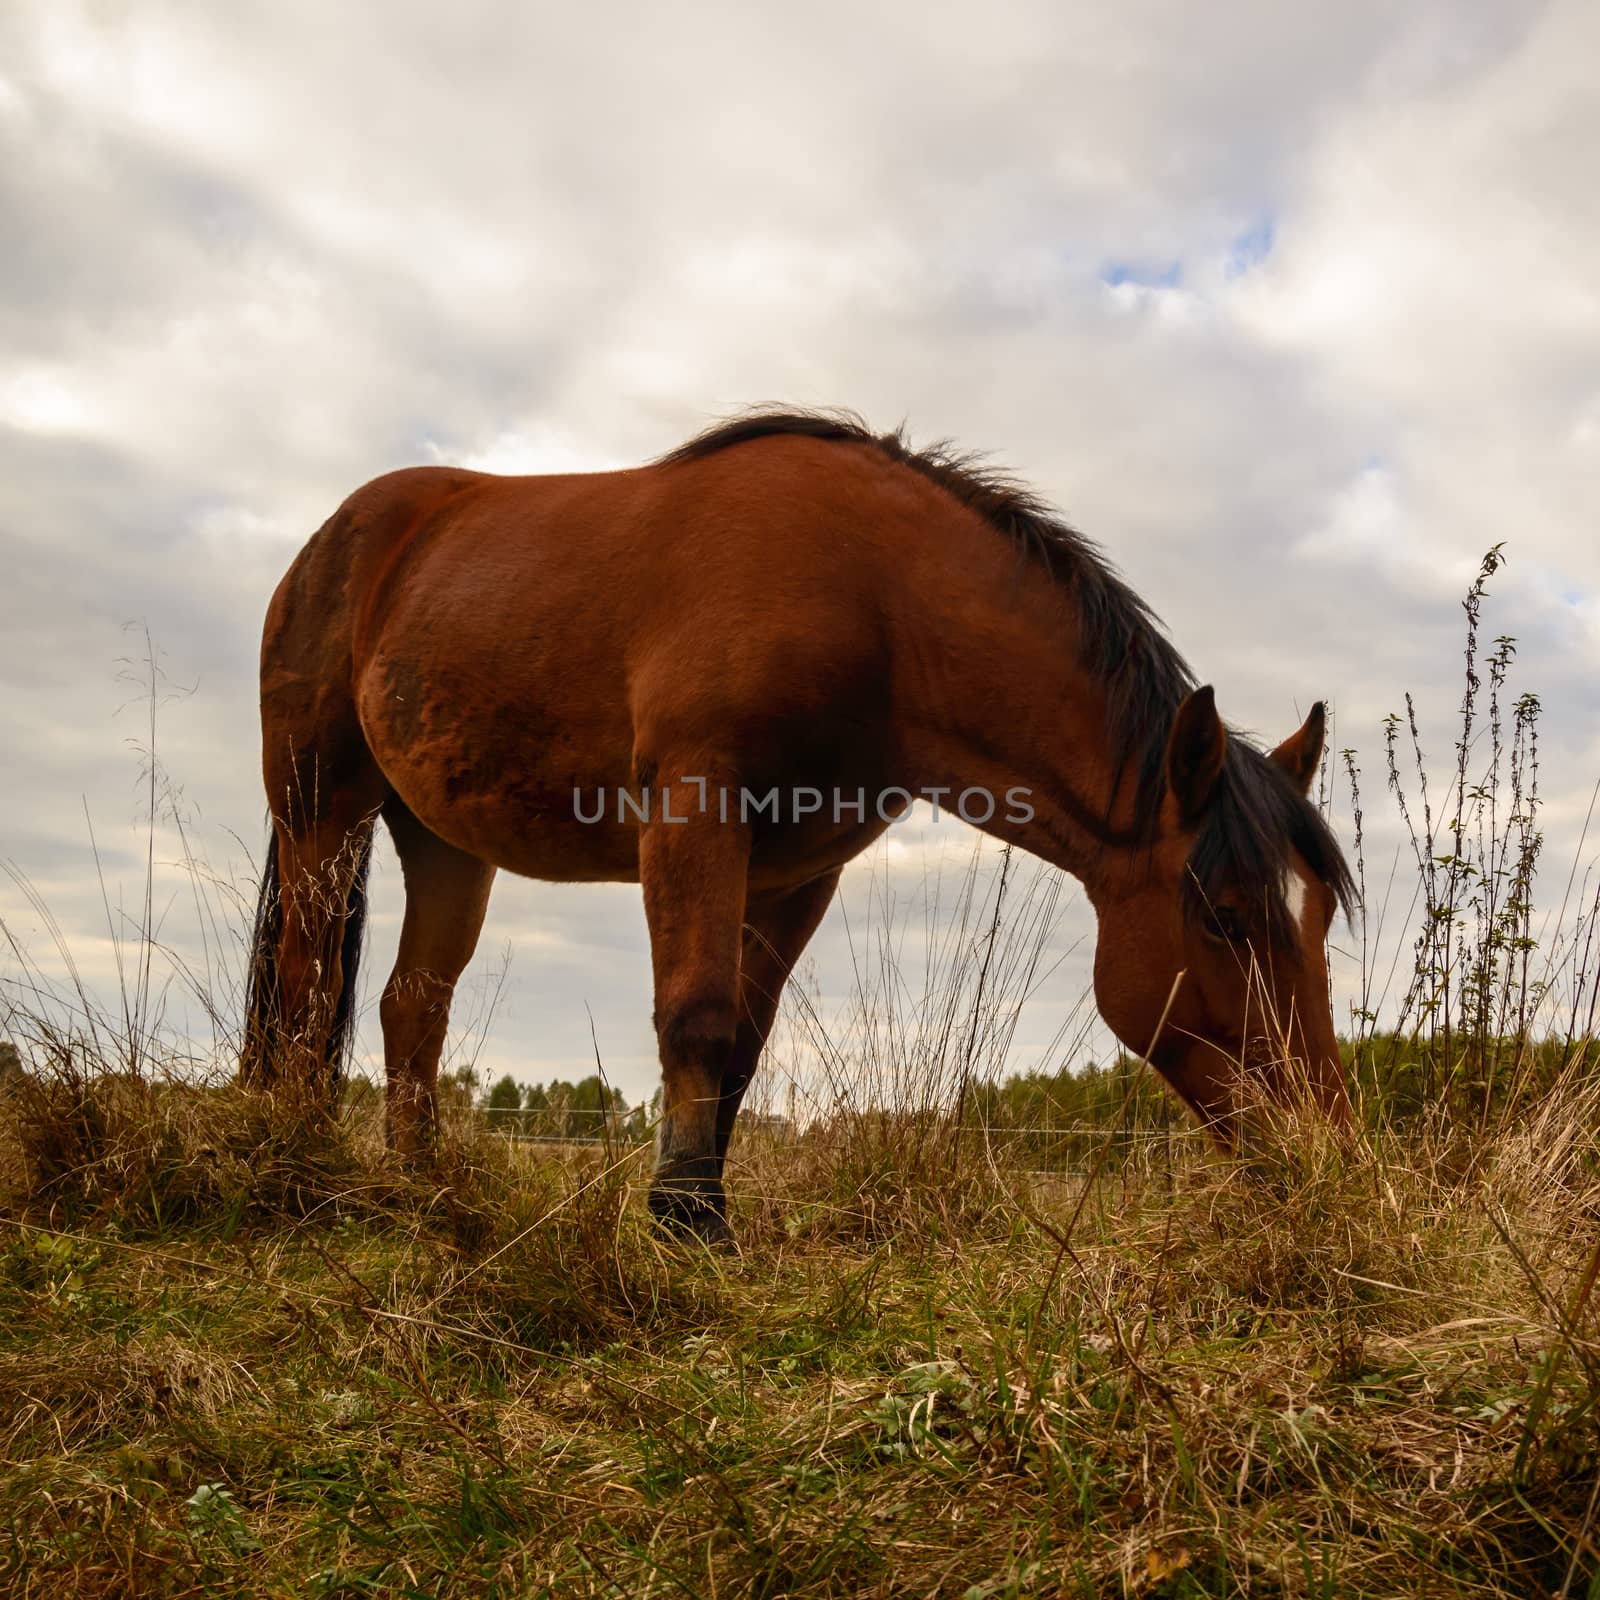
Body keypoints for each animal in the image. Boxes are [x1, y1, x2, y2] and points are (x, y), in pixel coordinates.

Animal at [243, 409, 1356, 1235]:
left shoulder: (798, 871)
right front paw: (686, 1222)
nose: (1327, 1155)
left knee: (409, 1006)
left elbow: (740, 1037)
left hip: (443, 840)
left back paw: (420, 1190)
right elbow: (693, 1015)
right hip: (321, 805)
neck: (872, 595)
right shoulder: (697, 807)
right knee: (306, 983)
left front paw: (693, 1205)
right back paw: (296, 1162)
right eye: (1223, 914)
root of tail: (340, 535)